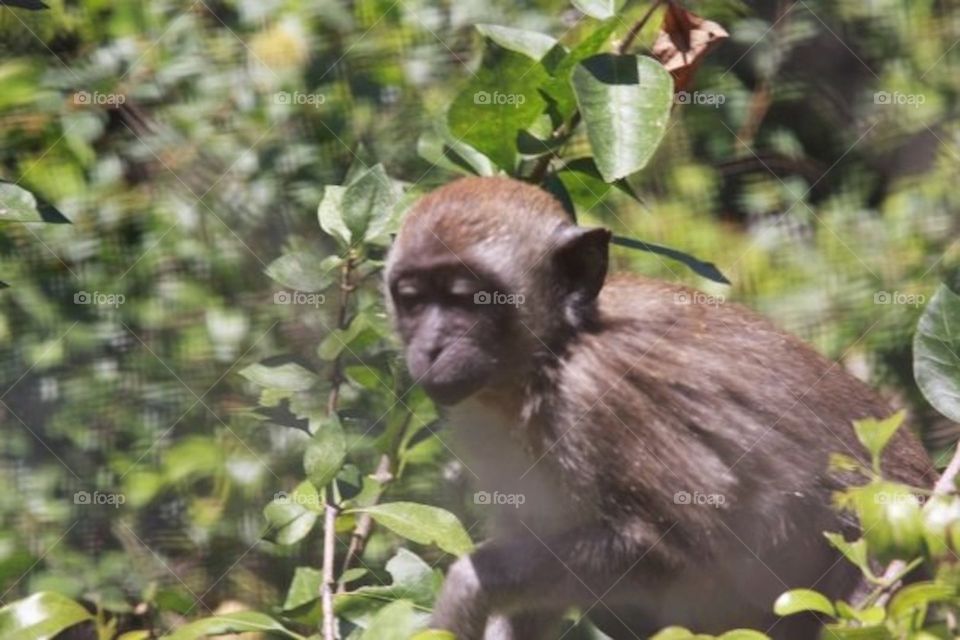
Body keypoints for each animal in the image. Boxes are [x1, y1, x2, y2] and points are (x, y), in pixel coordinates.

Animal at [384, 176, 933, 640]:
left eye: (470, 299)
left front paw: (468, 586)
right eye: (414, 300)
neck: (552, 357)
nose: (432, 347)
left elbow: (677, 547)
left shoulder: (598, 397)